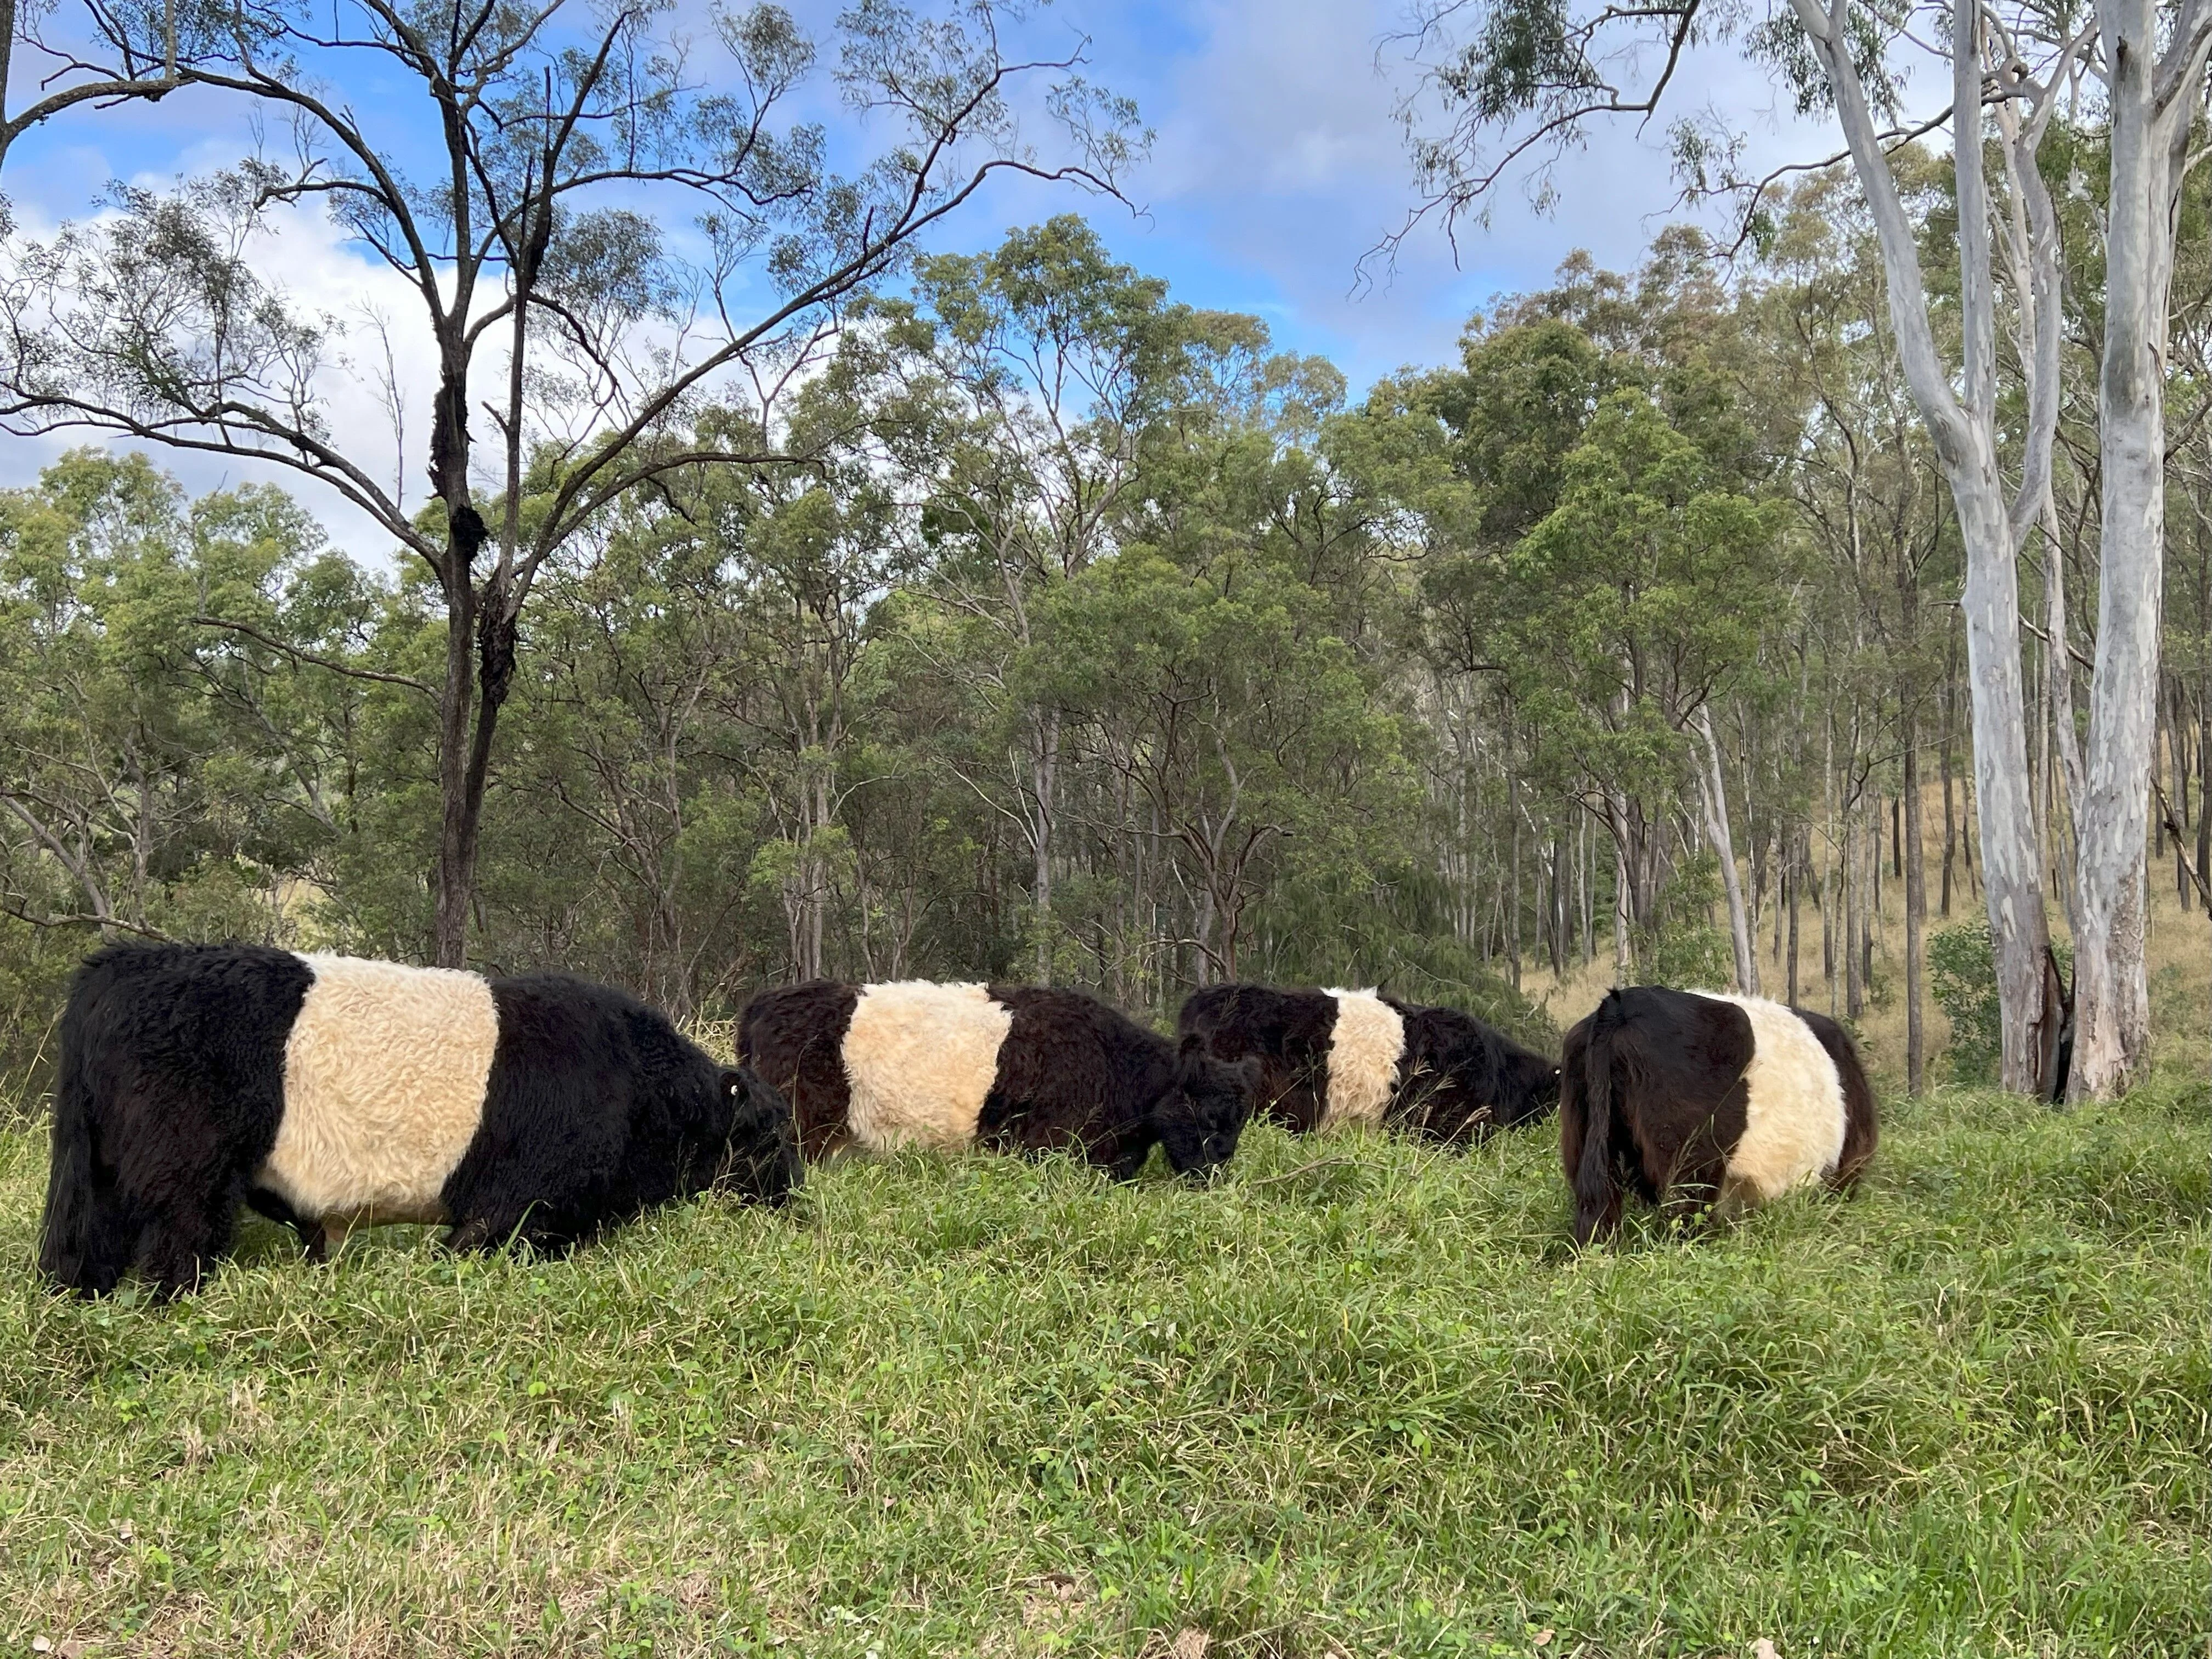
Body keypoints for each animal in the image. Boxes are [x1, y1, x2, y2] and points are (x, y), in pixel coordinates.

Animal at [38, 944, 803, 1298]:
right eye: (769, 1138)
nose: (796, 1204)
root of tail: (119, 966)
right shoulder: (515, 1209)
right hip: (184, 1178)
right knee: (177, 1252)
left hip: (98, 1177)